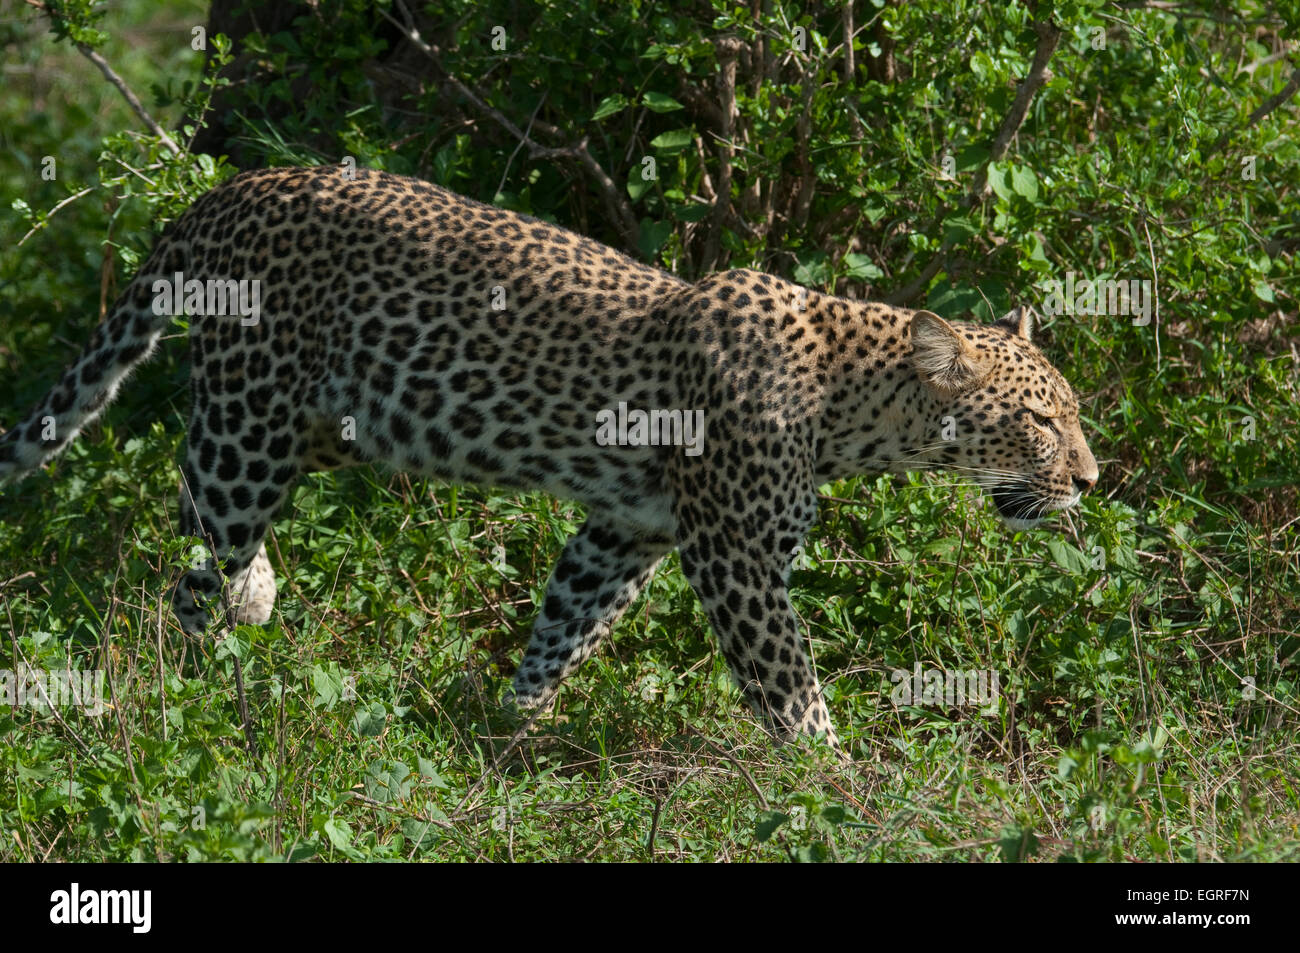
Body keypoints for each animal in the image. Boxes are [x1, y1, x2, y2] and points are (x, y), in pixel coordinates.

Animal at [0, 165, 1098, 747]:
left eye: (1070, 416)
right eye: (1041, 421)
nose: (1090, 478)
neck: (848, 403)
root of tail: (232, 187)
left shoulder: (626, 529)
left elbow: (567, 623)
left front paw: (512, 727)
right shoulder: (736, 557)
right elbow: (790, 687)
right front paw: (839, 783)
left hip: (320, 427)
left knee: (210, 538)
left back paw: (253, 603)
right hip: (249, 422)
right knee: (192, 563)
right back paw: (195, 686)